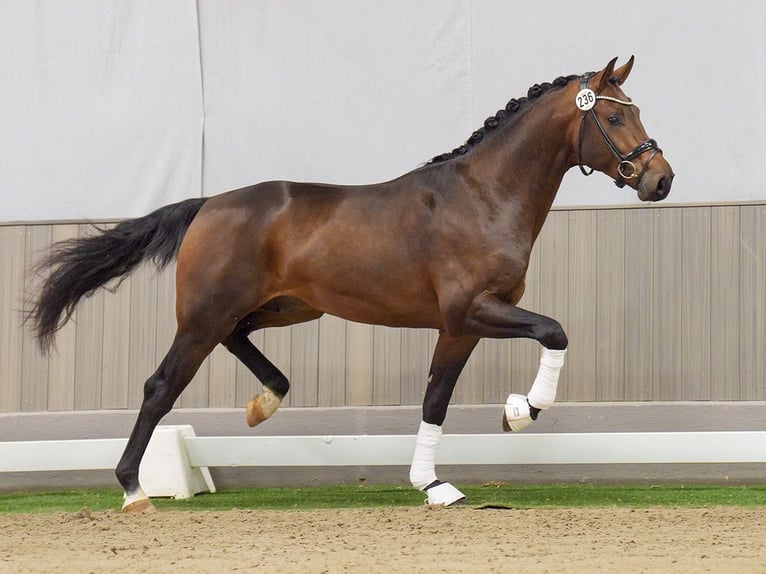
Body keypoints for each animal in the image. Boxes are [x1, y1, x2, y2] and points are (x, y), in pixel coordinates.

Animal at [27, 56, 672, 510]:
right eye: (614, 115)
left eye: (635, 110)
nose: (660, 179)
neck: (483, 197)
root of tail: (207, 204)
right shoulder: (472, 311)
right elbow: (554, 331)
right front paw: (521, 411)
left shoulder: (459, 326)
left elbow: (436, 398)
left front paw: (433, 485)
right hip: (203, 318)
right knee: (160, 387)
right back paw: (134, 490)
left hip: (287, 307)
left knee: (240, 341)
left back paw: (265, 403)